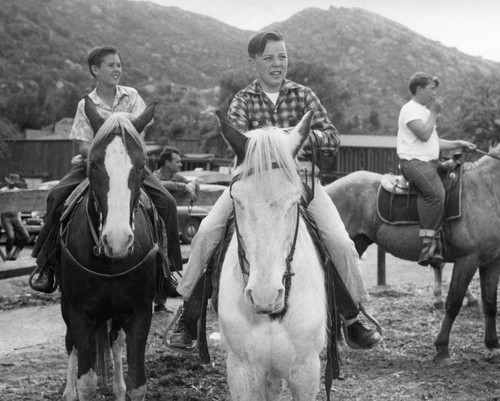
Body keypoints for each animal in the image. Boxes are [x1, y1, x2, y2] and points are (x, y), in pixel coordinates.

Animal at [58, 97, 160, 400]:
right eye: (93, 164)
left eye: (142, 166)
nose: (117, 240)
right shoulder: (80, 313)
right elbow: (87, 382)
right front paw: (77, 389)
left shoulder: (139, 312)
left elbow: (138, 383)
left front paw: (125, 387)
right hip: (67, 308)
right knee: (71, 345)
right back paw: (68, 392)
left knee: (115, 342)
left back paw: (117, 387)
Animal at [324, 149, 500, 362]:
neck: (485, 190)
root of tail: (326, 188)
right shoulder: (467, 259)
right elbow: (453, 303)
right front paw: (442, 348)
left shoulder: (492, 262)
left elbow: (490, 303)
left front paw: (492, 346)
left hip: (356, 244)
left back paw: (341, 340)